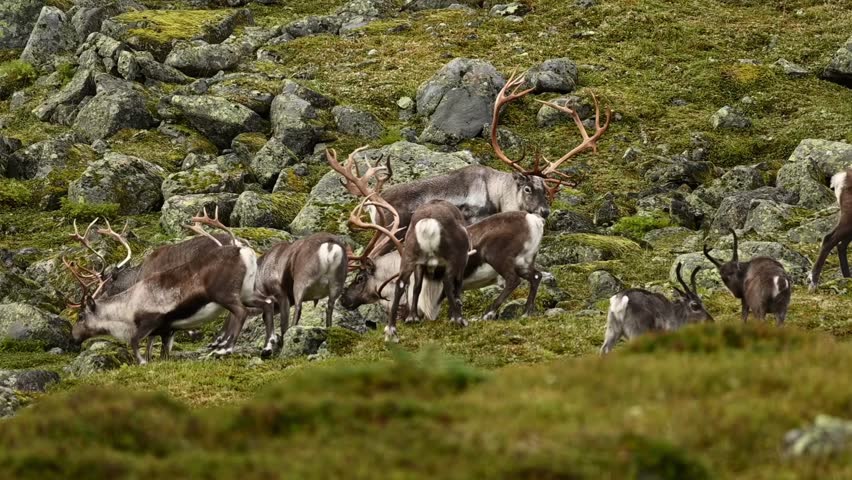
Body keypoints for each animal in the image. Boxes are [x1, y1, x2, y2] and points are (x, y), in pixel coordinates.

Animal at [63, 214, 273, 364]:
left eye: (106, 285)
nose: (72, 338)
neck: (138, 275)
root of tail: (241, 245)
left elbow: (149, 341)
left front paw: (147, 359)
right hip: (245, 290)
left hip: (224, 291)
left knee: (239, 311)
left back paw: (223, 346)